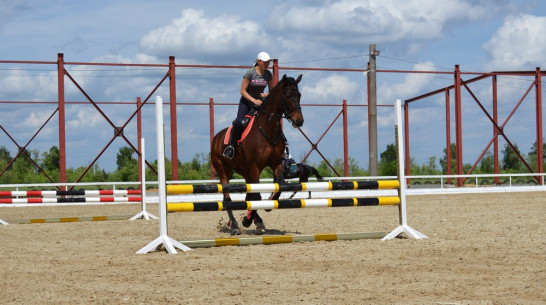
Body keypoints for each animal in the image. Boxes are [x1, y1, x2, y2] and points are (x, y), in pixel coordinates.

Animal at [209, 74, 302, 235]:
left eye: (299, 95)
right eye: (288, 96)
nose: (299, 121)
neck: (268, 127)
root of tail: (217, 137)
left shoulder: (276, 164)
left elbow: (279, 187)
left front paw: (266, 207)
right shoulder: (255, 167)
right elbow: (257, 195)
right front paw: (246, 220)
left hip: (244, 171)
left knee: (248, 195)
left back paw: (256, 221)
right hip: (223, 169)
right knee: (227, 198)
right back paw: (235, 225)